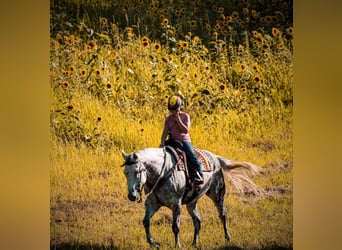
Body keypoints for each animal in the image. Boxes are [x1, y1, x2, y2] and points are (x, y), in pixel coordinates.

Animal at [121, 147, 262, 247]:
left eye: (137, 171)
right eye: (125, 172)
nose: (132, 196)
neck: (161, 173)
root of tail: (215, 158)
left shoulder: (176, 204)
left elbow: (175, 226)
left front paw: (177, 245)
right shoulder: (152, 204)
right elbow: (146, 222)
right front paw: (154, 243)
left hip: (217, 194)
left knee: (222, 215)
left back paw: (227, 238)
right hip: (191, 202)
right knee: (197, 220)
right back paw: (195, 243)